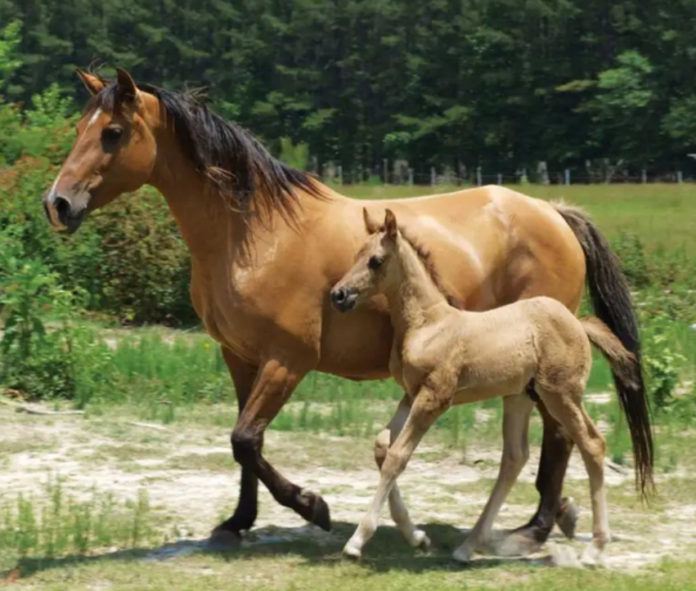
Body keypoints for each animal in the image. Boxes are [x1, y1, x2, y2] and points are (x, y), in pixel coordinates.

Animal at [332, 209, 640, 564]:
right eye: (356, 254)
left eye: (376, 260)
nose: (338, 295)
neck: (428, 323)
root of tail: (578, 322)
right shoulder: (410, 395)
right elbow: (383, 447)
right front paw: (417, 537)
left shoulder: (434, 398)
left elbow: (397, 456)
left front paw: (357, 541)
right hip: (520, 396)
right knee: (515, 457)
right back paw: (469, 546)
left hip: (561, 394)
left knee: (591, 443)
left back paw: (596, 547)